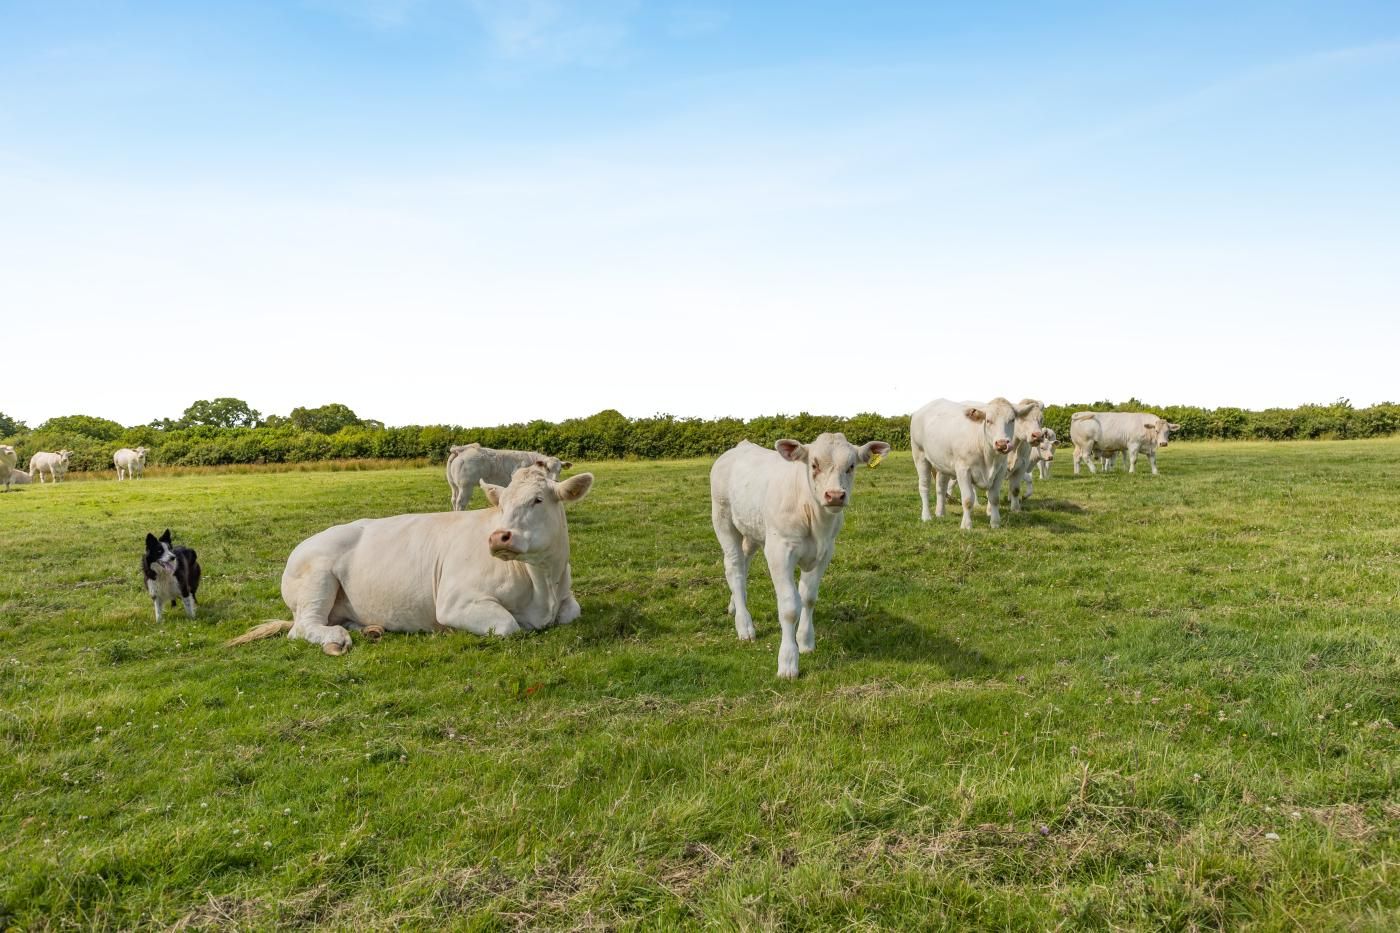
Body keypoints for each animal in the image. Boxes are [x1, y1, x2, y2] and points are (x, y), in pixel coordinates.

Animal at [228, 464, 594, 656]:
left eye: (538, 499)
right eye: (500, 504)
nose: (498, 537)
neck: (542, 583)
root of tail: (301, 545)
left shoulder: (567, 598)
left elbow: (572, 612)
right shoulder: (455, 602)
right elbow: (509, 625)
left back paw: (369, 628)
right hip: (316, 579)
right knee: (303, 627)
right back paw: (336, 639)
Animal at [710, 433, 890, 679]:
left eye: (851, 466)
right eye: (814, 465)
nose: (835, 495)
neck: (815, 520)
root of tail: (741, 446)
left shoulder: (826, 552)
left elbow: (809, 597)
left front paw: (805, 641)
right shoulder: (779, 551)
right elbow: (789, 607)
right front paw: (788, 662)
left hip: (752, 529)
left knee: (744, 563)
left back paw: (735, 606)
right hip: (723, 520)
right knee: (734, 568)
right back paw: (745, 626)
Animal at [910, 398, 1035, 529]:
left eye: (1012, 420)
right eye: (988, 421)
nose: (1002, 444)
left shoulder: (1000, 471)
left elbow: (994, 498)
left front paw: (995, 522)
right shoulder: (963, 470)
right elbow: (967, 499)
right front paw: (966, 525)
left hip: (942, 463)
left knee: (941, 487)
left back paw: (940, 513)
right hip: (920, 455)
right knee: (924, 486)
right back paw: (926, 516)